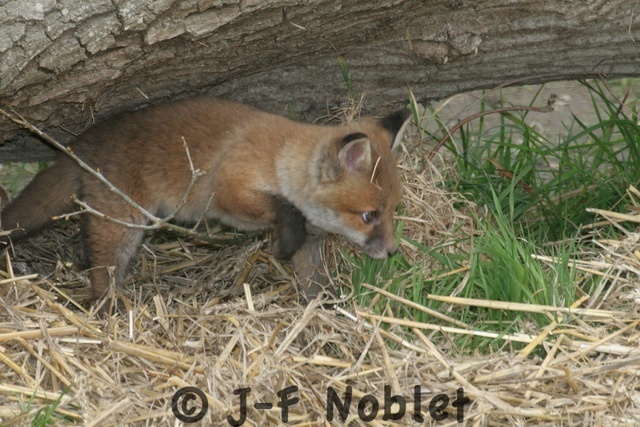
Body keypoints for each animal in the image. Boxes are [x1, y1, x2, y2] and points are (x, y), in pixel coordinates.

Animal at [0, 97, 411, 307]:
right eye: (369, 215)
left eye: (393, 212)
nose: (392, 252)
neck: (281, 161)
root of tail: (79, 144)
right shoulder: (230, 188)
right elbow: (284, 209)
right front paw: (281, 244)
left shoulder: (312, 246)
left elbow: (316, 286)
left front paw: (327, 313)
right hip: (124, 225)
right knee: (104, 271)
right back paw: (109, 311)